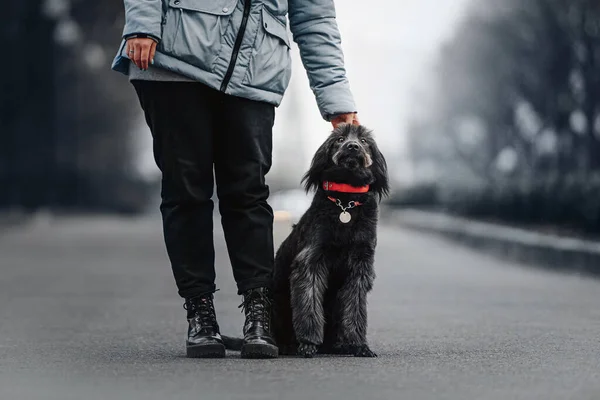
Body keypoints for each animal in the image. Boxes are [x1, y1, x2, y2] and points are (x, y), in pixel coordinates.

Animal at [224, 124, 390, 356]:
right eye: (339, 139)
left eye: (364, 141)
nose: (353, 146)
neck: (346, 202)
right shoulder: (311, 262)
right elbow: (308, 306)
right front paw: (309, 343)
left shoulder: (360, 266)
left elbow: (355, 309)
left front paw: (358, 345)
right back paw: (287, 346)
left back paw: (338, 346)